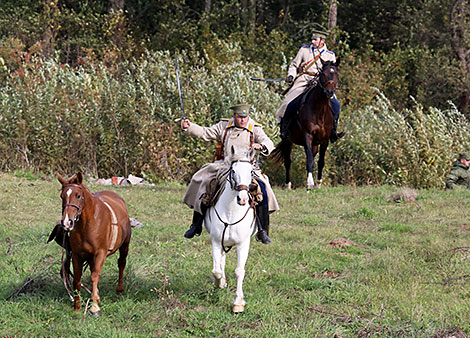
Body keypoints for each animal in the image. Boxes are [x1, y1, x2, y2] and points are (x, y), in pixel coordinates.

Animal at [55, 173, 132, 316]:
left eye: (78, 195)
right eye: (62, 196)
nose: (67, 222)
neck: (88, 224)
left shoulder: (100, 253)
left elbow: (95, 276)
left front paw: (95, 307)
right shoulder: (77, 255)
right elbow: (77, 279)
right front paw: (77, 306)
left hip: (125, 245)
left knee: (121, 263)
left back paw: (119, 288)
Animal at [205, 149, 258, 312]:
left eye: (251, 171)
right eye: (233, 171)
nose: (242, 199)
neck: (231, 212)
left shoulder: (243, 244)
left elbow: (239, 271)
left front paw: (238, 303)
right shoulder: (216, 242)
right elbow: (216, 271)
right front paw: (219, 283)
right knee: (221, 262)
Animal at [270, 60, 340, 190]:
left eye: (336, 74)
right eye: (323, 74)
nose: (329, 92)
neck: (319, 110)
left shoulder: (324, 140)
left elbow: (320, 161)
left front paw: (318, 183)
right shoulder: (308, 135)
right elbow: (310, 161)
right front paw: (310, 184)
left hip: (314, 144)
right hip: (287, 141)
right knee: (288, 161)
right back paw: (288, 184)